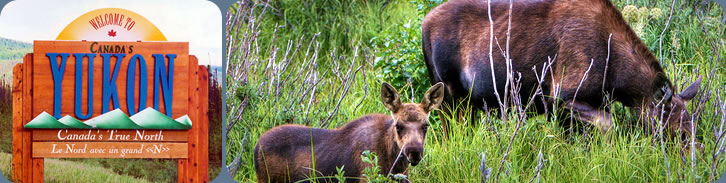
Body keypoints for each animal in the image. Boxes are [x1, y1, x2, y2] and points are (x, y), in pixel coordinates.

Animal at [424, 0, 704, 140]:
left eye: (694, 127)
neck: (617, 79)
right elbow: (607, 125)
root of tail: (423, 24)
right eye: (680, 134)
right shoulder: (561, 95)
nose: (696, 162)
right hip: (448, 96)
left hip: (467, 103)